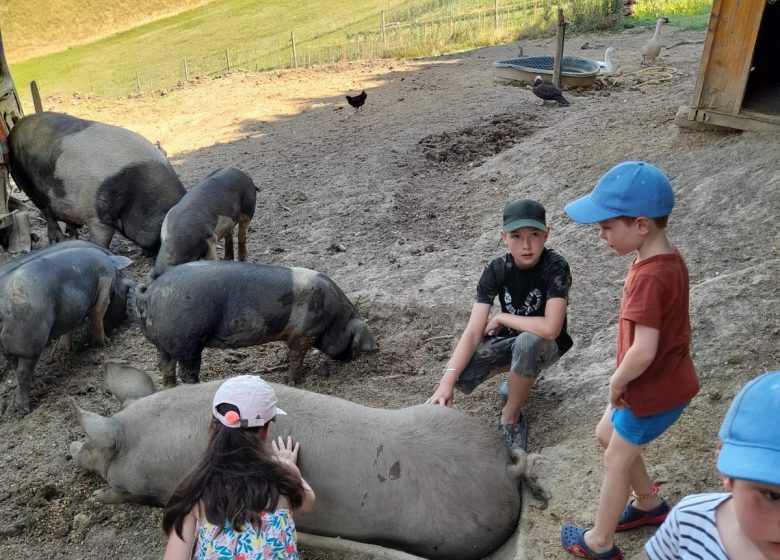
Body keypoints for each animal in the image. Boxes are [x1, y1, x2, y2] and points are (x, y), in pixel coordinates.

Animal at [0, 241, 133, 412]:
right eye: (127, 289)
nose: (126, 317)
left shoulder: (71, 310)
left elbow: (68, 328)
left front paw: (67, 349)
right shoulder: (104, 286)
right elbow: (97, 316)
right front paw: (106, 342)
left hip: (8, 346)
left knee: (15, 365)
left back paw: (38, 386)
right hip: (28, 338)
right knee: (22, 372)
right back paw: (24, 409)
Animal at [7, 112, 186, 253]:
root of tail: (15, 129)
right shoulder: (96, 216)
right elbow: (101, 241)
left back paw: (75, 238)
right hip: (22, 178)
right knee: (45, 211)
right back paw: (57, 240)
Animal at [134, 262, 378, 384]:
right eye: (353, 344)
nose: (349, 360)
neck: (334, 317)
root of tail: (149, 293)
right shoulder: (303, 333)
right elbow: (296, 358)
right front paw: (295, 382)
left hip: (162, 343)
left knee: (165, 367)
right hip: (187, 341)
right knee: (187, 372)